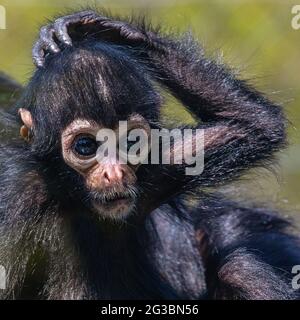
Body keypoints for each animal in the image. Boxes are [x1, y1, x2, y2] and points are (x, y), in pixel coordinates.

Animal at [0, 10, 298, 298]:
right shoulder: (19, 206)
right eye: (85, 146)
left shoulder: (158, 169)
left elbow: (252, 126)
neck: (76, 201)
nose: (114, 172)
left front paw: (104, 29)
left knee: (239, 268)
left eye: (131, 142)